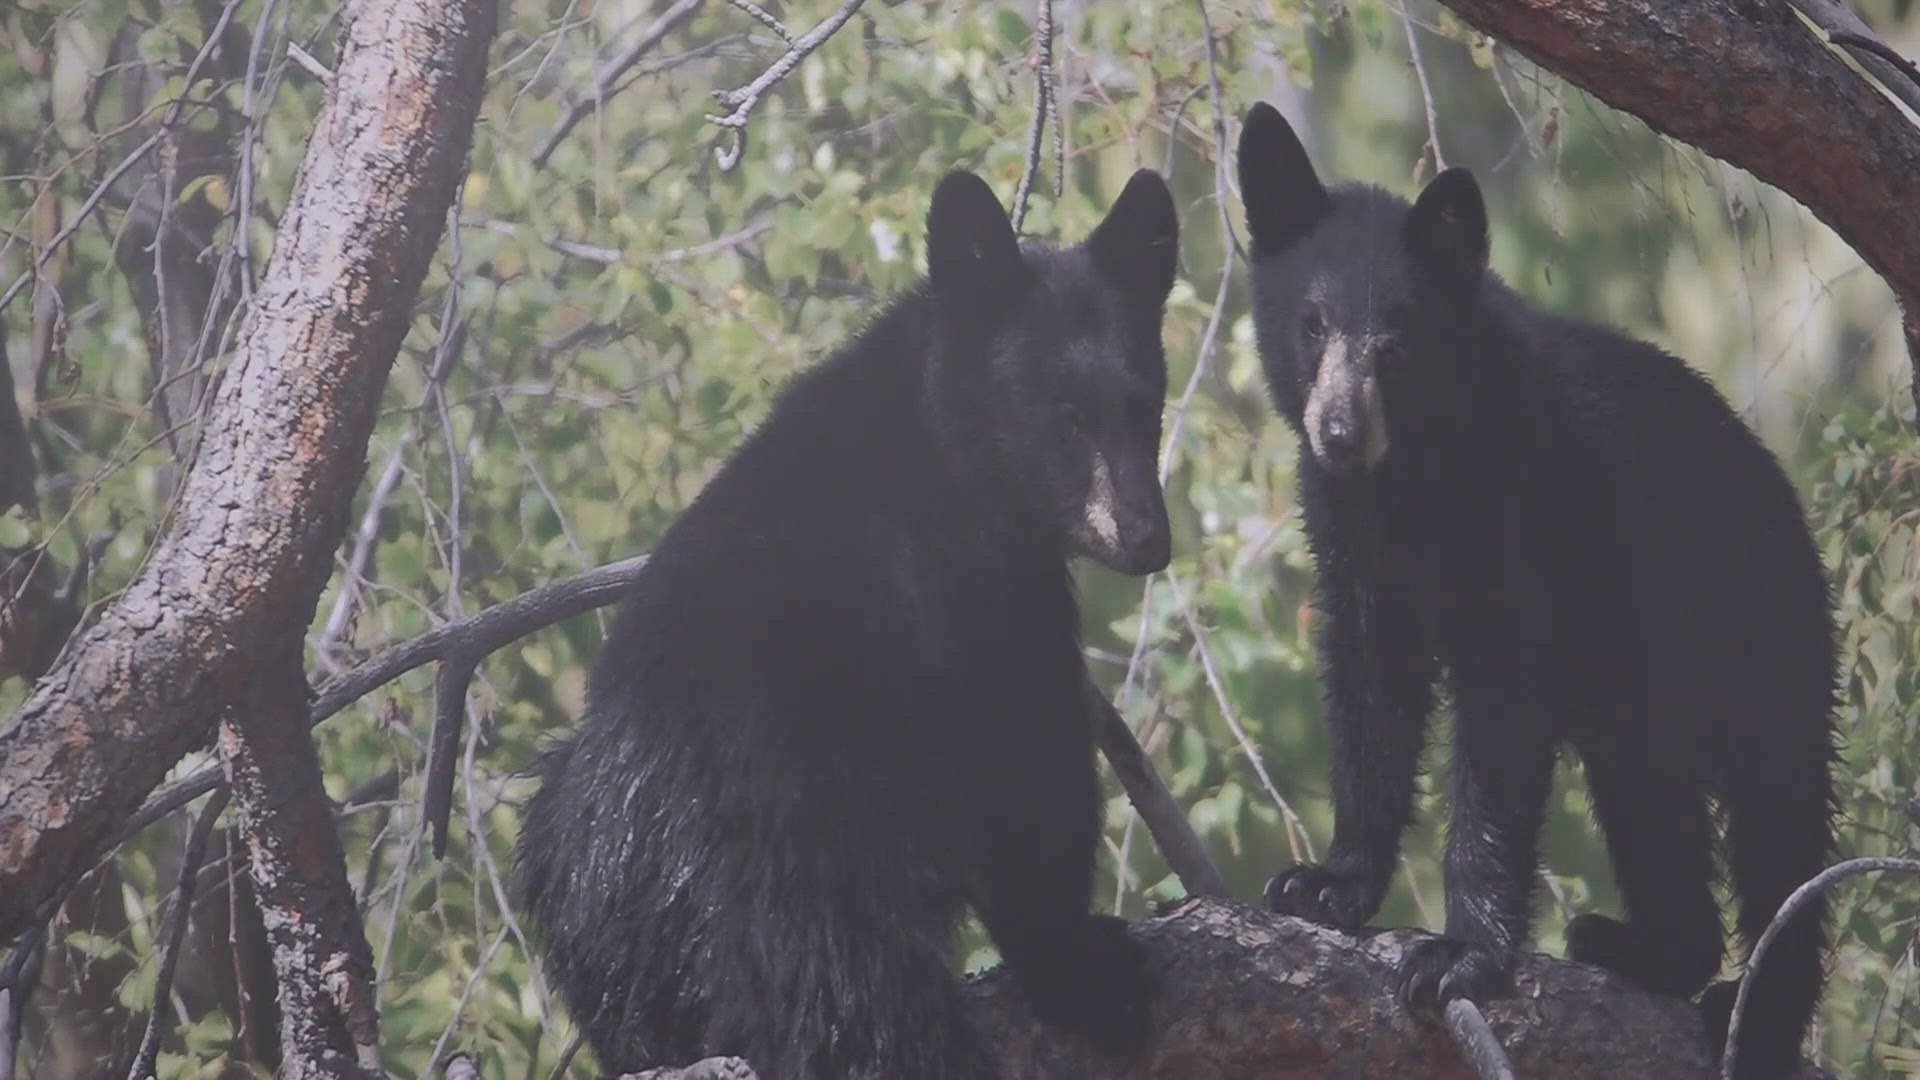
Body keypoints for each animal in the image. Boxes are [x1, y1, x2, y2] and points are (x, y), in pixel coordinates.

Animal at [514, 168, 1167, 1076]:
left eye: (1149, 408)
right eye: (1069, 416)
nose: (1147, 537)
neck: (942, 445)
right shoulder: (976, 594)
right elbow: (1029, 762)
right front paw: (1086, 968)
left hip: (579, 865)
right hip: (809, 858)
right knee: (857, 1012)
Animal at [1236, 102, 1835, 1076]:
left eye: (1395, 345)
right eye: (1312, 324)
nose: (1339, 435)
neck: (1417, 480)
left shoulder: (1527, 529)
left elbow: (1502, 727)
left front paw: (1458, 955)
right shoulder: (1355, 548)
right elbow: (1369, 699)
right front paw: (1324, 882)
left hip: (1755, 617)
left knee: (1779, 815)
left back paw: (1752, 1012)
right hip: (1643, 690)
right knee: (1651, 795)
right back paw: (1645, 948)